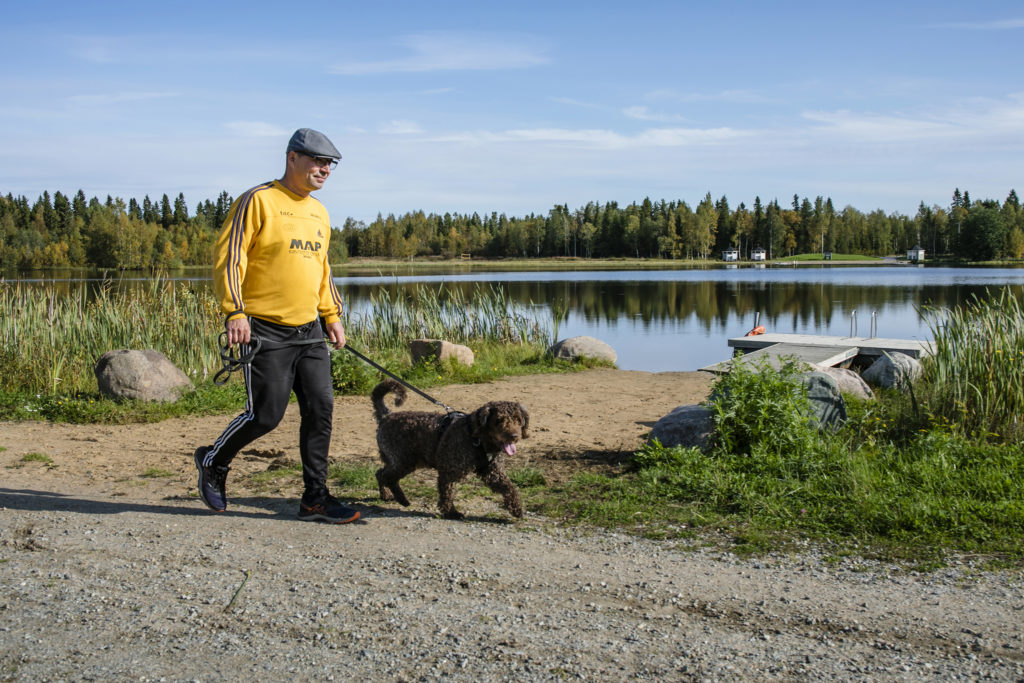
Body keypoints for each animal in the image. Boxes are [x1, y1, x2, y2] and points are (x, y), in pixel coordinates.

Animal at [370, 378, 528, 518]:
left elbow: (509, 488)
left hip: (396, 461)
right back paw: (402, 499)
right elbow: (447, 493)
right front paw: (451, 513)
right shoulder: (448, 471)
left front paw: (517, 509)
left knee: (380, 473)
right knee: (387, 477)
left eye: (518, 419)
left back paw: (386, 495)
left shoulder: (493, 473)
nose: (514, 436)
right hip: (404, 461)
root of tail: (386, 416)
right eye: (499, 420)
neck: (476, 437)